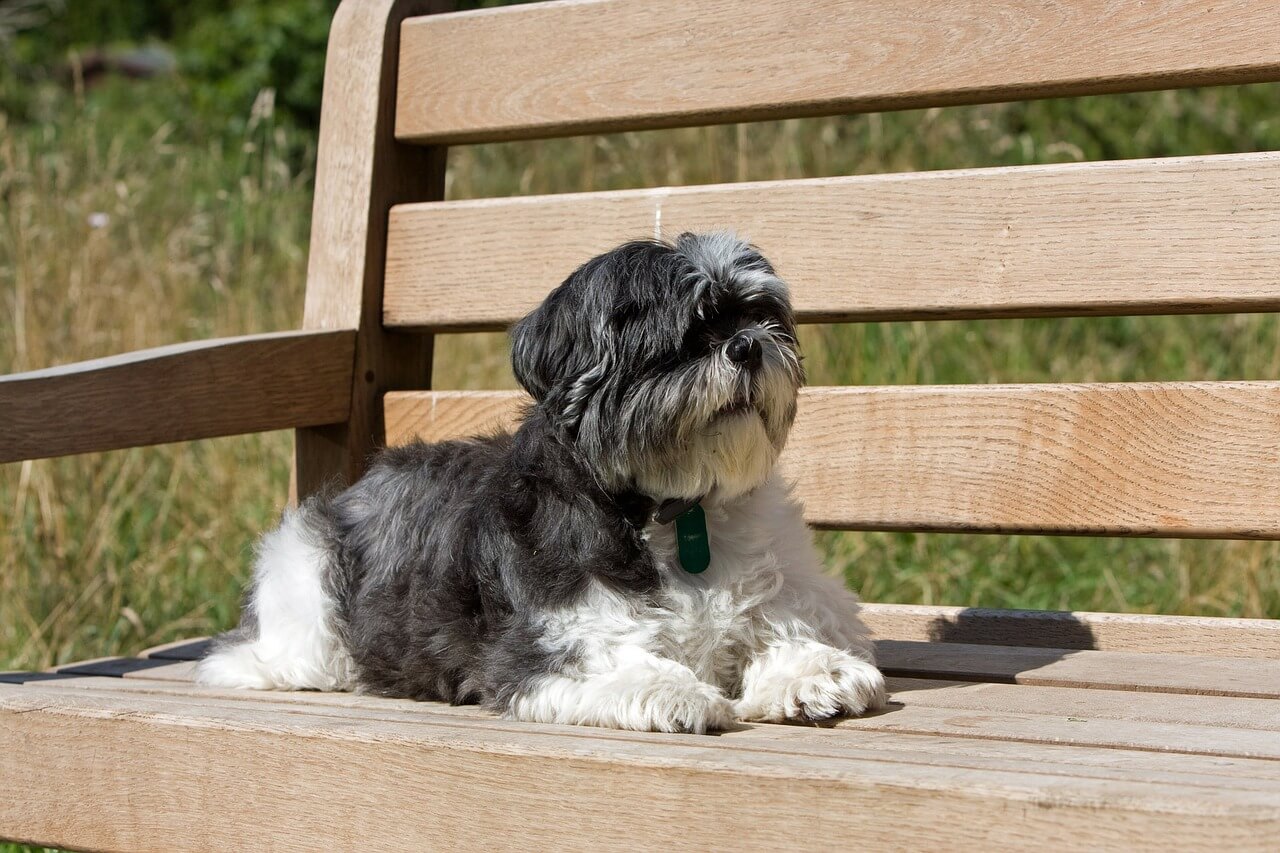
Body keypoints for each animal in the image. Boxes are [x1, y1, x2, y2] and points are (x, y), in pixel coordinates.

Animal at [199, 233, 885, 732]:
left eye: (760, 316)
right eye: (683, 339)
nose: (746, 346)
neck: (677, 506)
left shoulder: (800, 592)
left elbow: (792, 621)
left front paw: (814, 673)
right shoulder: (546, 641)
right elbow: (608, 657)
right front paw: (672, 690)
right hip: (307, 600)